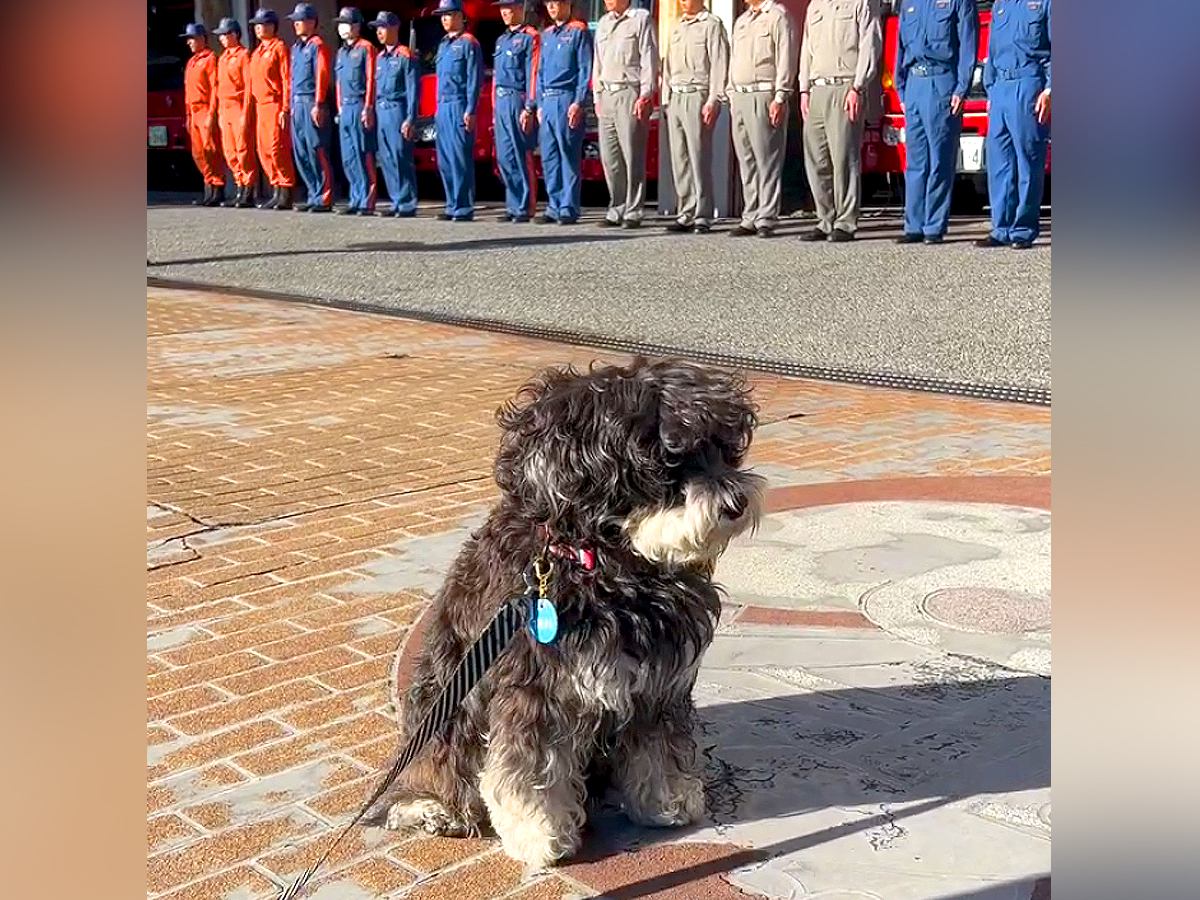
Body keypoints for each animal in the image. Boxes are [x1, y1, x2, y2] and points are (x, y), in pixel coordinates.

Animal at [360, 362, 763, 873]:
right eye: (665, 461)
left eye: (724, 449)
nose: (736, 505)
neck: (608, 567)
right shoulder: (534, 692)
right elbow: (529, 771)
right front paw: (538, 836)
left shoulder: (658, 685)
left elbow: (661, 748)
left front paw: (669, 801)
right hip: (444, 709)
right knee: (428, 769)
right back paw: (430, 807)